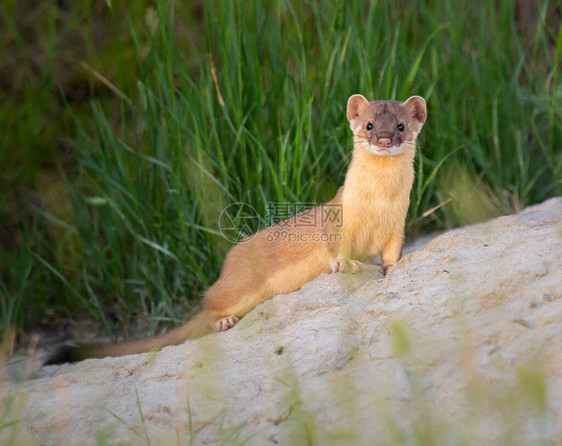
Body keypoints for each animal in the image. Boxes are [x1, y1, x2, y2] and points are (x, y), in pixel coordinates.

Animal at [46, 94, 424, 362]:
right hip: (237, 285)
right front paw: (347, 264)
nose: (385, 140)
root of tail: (228, 266)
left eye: (401, 126)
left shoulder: (398, 223)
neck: (379, 205)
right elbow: (336, 248)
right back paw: (222, 321)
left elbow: (392, 251)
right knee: (209, 301)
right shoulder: (338, 219)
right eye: (369, 125)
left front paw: (390, 267)